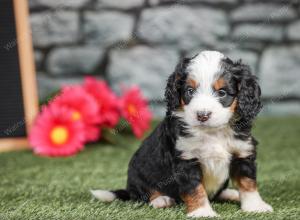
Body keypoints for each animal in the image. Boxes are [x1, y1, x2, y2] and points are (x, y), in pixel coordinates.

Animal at [92, 50, 274, 217]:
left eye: (222, 92)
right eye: (190, 91)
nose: (202, 115)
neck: (212, 133)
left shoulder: (242, 152)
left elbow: (247, 182)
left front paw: (255, 206)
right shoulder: (186, 159)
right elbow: (195, 188)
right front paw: (202, 212)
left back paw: (231, 193)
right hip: (139, 175)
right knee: (142, 194)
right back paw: (161, 200)